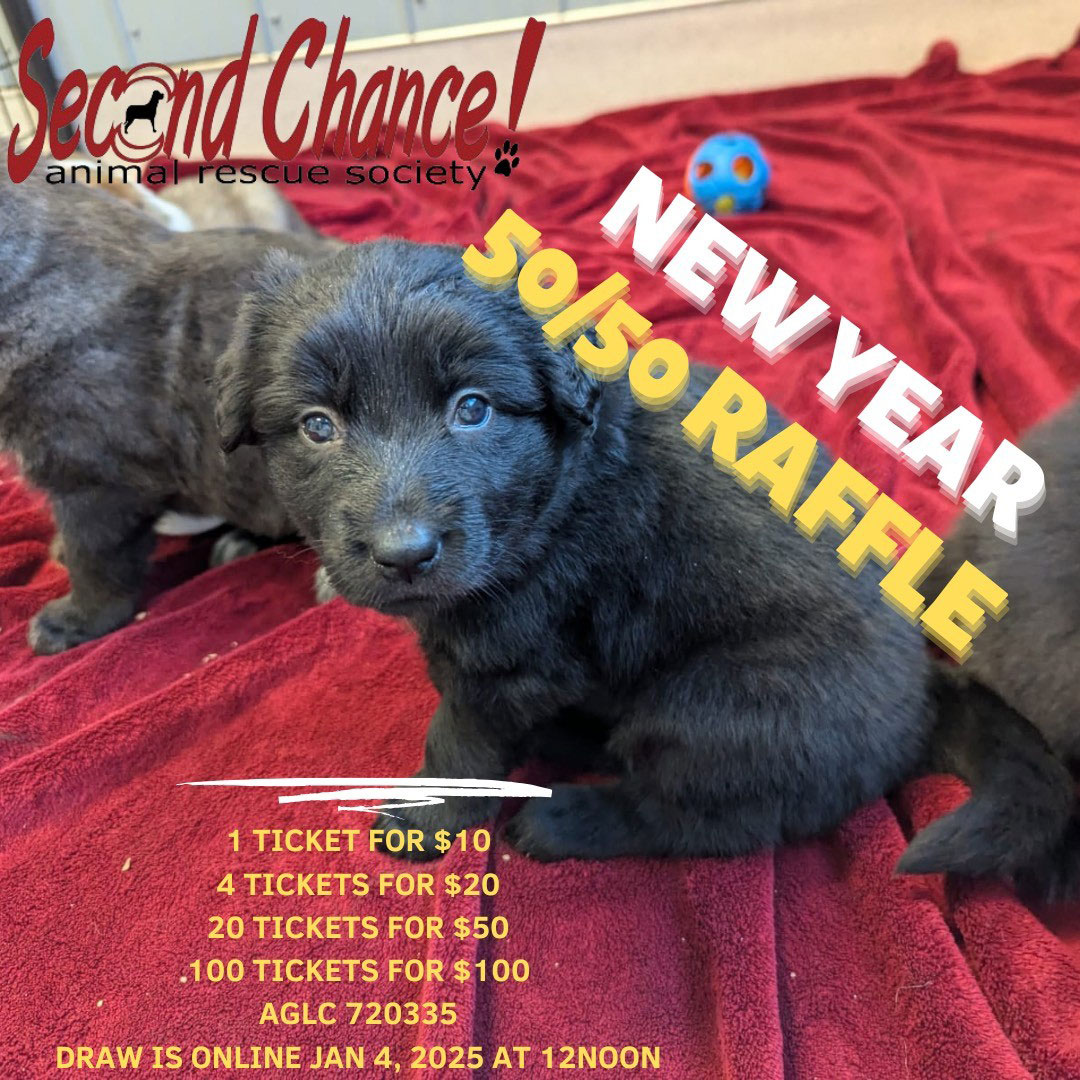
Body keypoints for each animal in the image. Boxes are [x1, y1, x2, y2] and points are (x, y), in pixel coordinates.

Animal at [215, 239, 1071, 872]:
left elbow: (458, 735)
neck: (558, 487)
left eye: (472, 409)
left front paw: (425, 818)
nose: (404, 553)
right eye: (318, 426)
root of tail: (924, 701)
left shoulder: (513, 657)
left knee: (699, 818)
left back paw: (566, 818)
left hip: (715, 711)